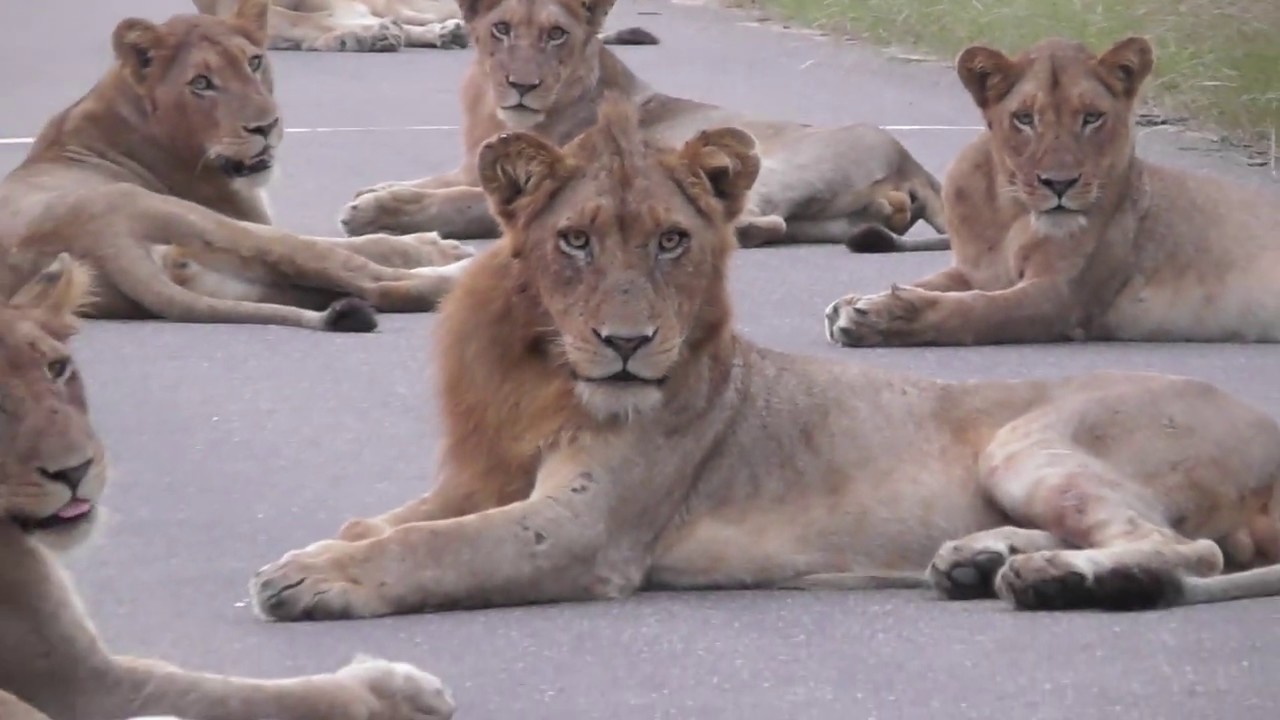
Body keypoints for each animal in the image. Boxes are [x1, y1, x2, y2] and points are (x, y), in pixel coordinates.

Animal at [0, 0, 474, 334]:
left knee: (362, 290)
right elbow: (365, 245)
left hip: (245, 284)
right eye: (201, 83)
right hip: (216, 227)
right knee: (370, 280)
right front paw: (432, 245)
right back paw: (460, 271)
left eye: (254, 62)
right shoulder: (247, 218)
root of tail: (102, 244)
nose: (266, 127)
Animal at [0, 254, 456, 720]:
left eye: (57, 368)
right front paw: (394, 690)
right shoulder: (79, 679)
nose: (75, 471)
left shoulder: (85, 680)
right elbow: (268, 695)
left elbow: (203, 685)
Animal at [245, 95, 1280, 624]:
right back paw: (979, 561)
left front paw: (311, 581)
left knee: (1182, 547)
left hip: (1029, 440)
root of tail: (1263, 422)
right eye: (575, 241)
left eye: (671, 242)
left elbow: (435, 546)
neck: (545, 371)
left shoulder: (587, 530)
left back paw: (1055, 581)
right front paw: (325, 549)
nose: (628, 344)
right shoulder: (479, 479)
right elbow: (385, 522)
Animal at [336, 0, 948, 251]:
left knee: (754, 218)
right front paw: (377, 190)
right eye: (502, 29)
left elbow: (451, 202)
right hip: (833, 220)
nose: (521, 84)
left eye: (556, 35)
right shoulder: (471, 166)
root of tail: (911, 161)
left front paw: (373, 211)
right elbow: (434, 183)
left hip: (775, 163)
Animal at [826, 36, 1280, 347]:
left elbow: (976, 310)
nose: (1059, 184)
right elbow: (930, 282)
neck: (1009, 212)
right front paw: (861, 302)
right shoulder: (972, 271)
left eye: (1092, 118)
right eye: (1025, 118)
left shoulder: (1061, 296)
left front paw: (883, 317)